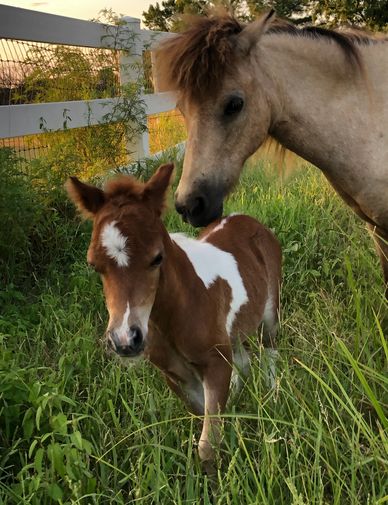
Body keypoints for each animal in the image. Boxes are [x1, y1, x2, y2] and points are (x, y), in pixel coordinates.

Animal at [65, 164, 280, 464]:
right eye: (94, 265)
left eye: (157, 257)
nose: (125, 340)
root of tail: (245, 218)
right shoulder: (175, 376)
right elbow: (203, 417)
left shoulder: (215, 363)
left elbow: (207, 446)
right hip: (233, 332)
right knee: (243, 359)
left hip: (270, 312)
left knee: (270, 349)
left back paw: (273, 393)